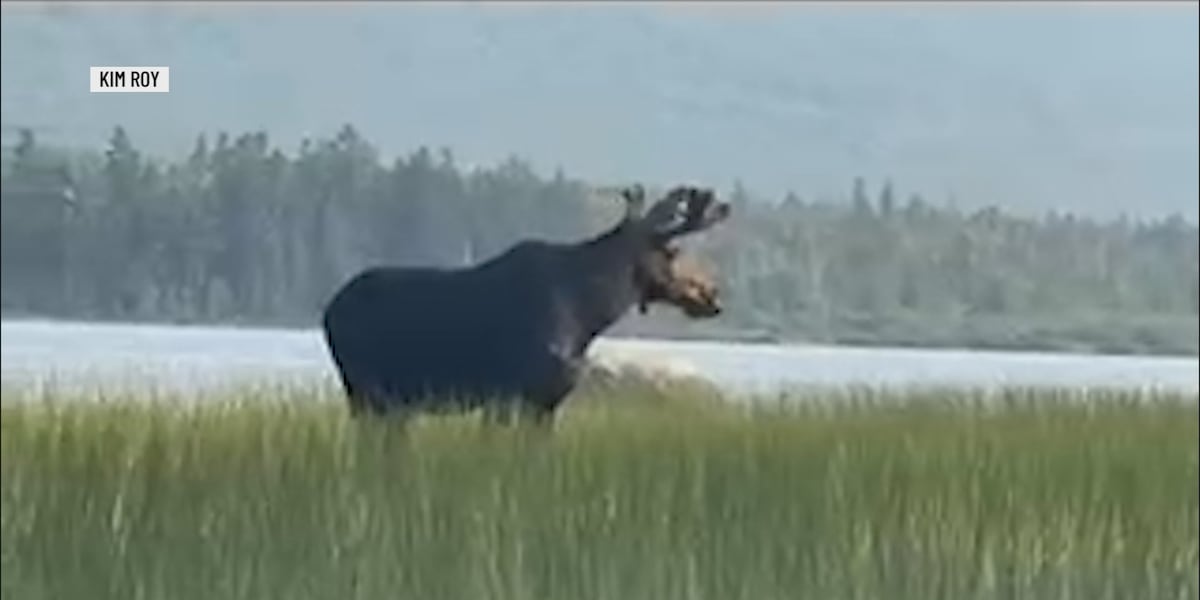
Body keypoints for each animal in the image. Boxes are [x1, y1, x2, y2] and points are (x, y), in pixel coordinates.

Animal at [320, 184, 731, 427]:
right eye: (672, 251)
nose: (711, 294)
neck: (588, 314)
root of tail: (328, 311)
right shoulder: (509, 397)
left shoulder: (546, 403)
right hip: (366, 391)